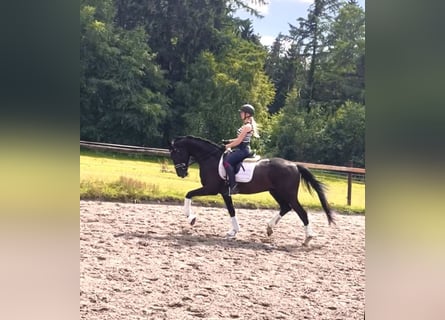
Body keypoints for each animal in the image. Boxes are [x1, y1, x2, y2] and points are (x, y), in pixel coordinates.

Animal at [170, 135, 332, 245]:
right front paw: (233, 232)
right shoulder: (225, 193)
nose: (181, 173)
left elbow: (188, 194)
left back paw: (308, 238)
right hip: (275, 192)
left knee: (301, 212)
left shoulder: (211, 189)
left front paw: (191, 218)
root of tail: (294, 165)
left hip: (289, 194)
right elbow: (231, 211)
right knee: (285, 208)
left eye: (176, 152)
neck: (211, 158)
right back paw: (269, 228)